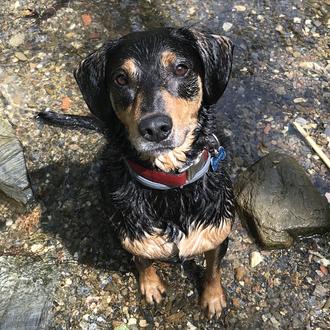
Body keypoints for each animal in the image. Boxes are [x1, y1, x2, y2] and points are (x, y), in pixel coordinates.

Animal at [38, 27, 235, 318]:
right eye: (120, 79)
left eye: (181, 68)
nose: (154, 128)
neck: (169, 185)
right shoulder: (130, 238)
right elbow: (142, 261)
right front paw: (151, 286)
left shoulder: (218, 235)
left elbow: (213, 269)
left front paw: (212, 298)